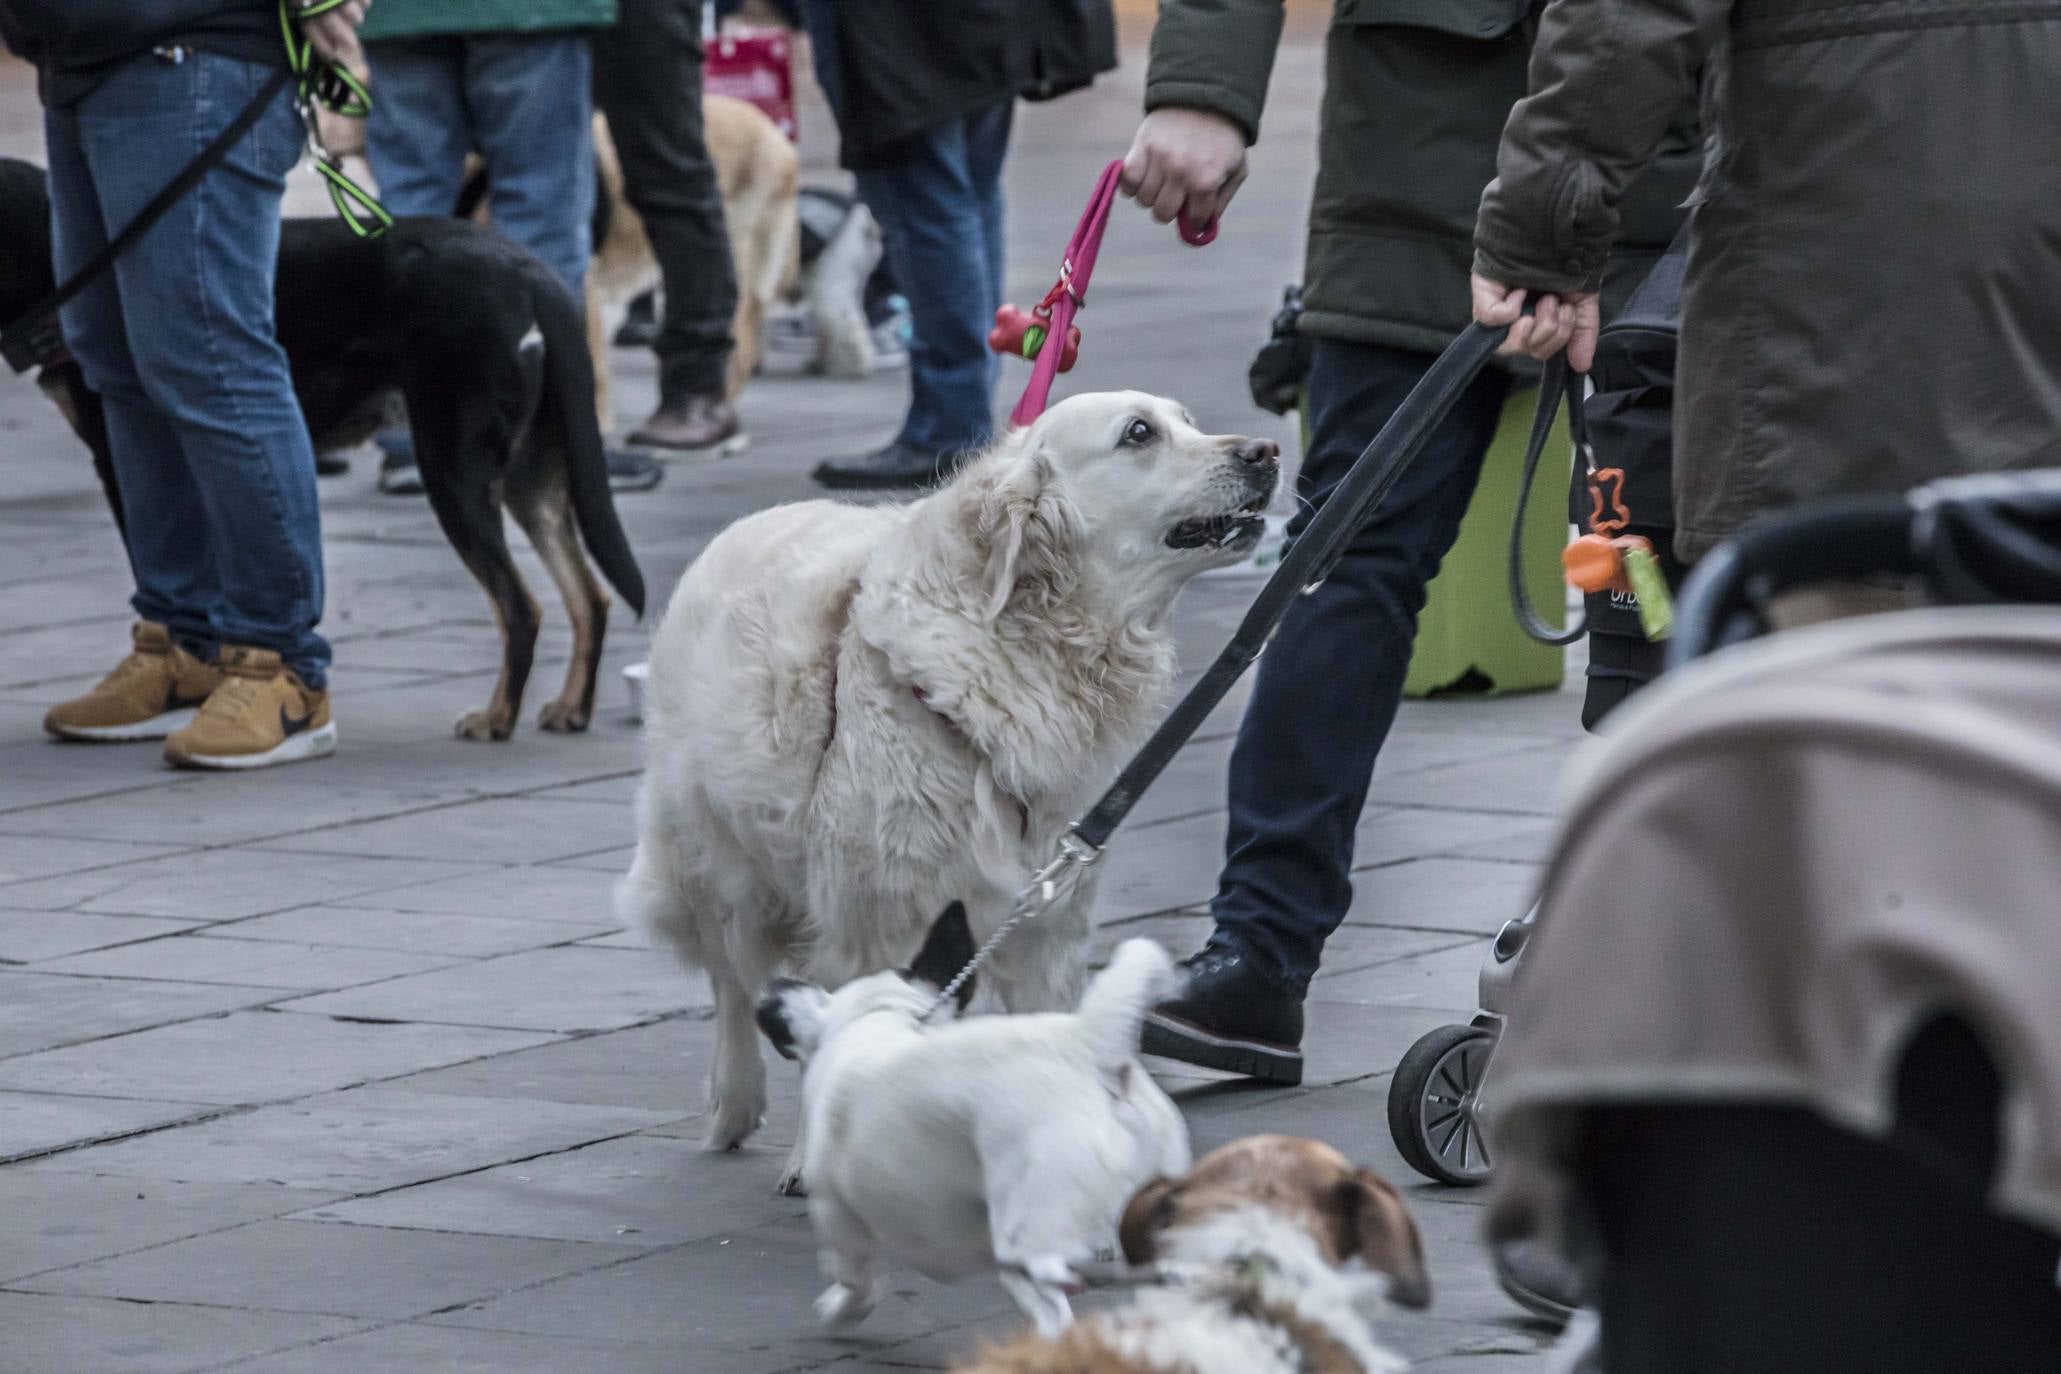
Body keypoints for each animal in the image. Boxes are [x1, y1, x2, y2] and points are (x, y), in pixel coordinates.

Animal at [0, 154, 643, 741]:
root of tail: (530, 273)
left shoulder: (130, 460)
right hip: (530, 476)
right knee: (590, 597)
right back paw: (571, 710)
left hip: (453, 468)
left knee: (520, 607)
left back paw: (496, 720)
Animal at [618, 391, 1277, 1186]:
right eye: (1139, 434)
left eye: (1187, 420)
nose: (1267, 452)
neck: (1027, 645)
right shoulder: (876, 914)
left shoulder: (1049, 914)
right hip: (716, 864)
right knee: (731, 981)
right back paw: (733, 1105)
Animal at [754, 906, 1195, 1334]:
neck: (883, 1016)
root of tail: (1088, 1049)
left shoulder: (837, 1214)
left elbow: (856, 1279)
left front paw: (841, 1309)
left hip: (1030, 1243)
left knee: (1054, 1314)